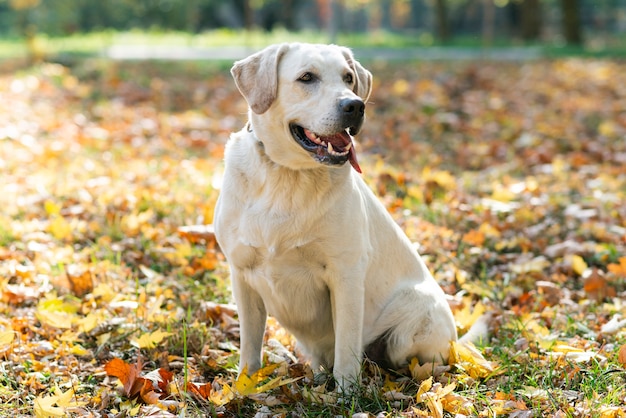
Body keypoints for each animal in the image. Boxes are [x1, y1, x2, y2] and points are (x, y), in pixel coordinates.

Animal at [214, 42, 458, 388]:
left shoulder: (346, 273)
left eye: (349, 78)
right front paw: (244, 385)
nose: (355, 106)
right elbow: (250, 343)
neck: (288, 175)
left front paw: (346, 393)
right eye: (307, 77)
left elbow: (346, 346)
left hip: (411, 323)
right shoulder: (241, 274)